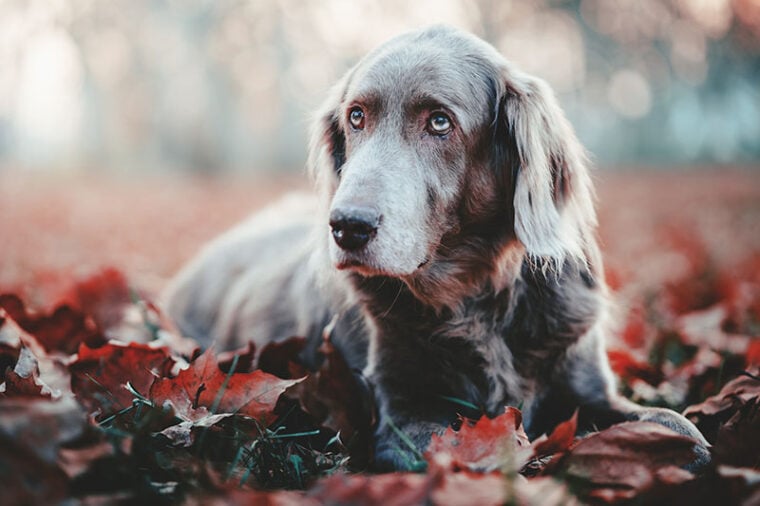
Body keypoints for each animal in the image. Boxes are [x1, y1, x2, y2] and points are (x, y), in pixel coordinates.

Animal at [163, 26, 708, 470]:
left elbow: (680, 428)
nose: (346, 226)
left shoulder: (585, 384)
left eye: (440, 122)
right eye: (356, 117)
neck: (477, 297)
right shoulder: (405, 413)